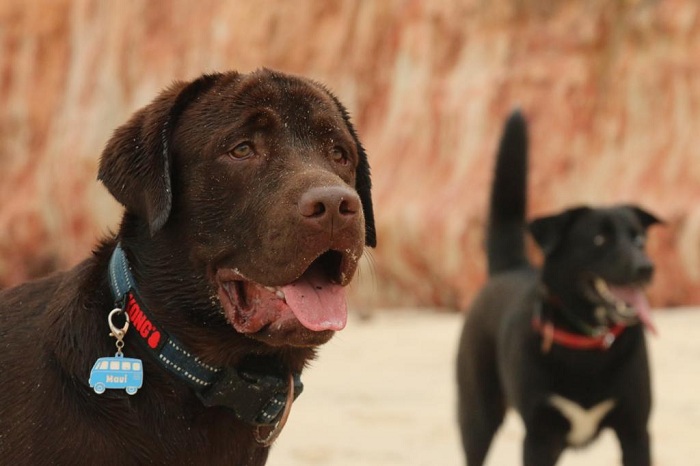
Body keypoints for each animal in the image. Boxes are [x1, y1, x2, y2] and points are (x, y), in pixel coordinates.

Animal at [456, 112, 660, 466]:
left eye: (638, 239)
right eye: (600, 239)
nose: (645, 268)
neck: (589, 343)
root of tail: (511, 268)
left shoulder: (636, 432)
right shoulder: (540, 437)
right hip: (479, 417)